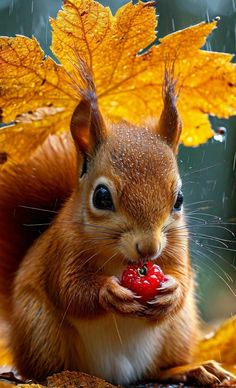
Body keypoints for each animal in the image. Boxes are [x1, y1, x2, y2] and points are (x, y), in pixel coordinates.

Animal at [0, 68, 233, 386]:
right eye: (101, 197)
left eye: (179, 199)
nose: (148, 248)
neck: (120, 258)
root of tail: (114, 375)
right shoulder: (61, 250)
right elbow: (69, 289)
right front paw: (108, 293)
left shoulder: (175, 246)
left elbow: (181, 279)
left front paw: (171, 290)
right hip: (41, 328)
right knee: (47, 370)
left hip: (179, 329)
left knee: (159, 369)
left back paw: (193, 369)